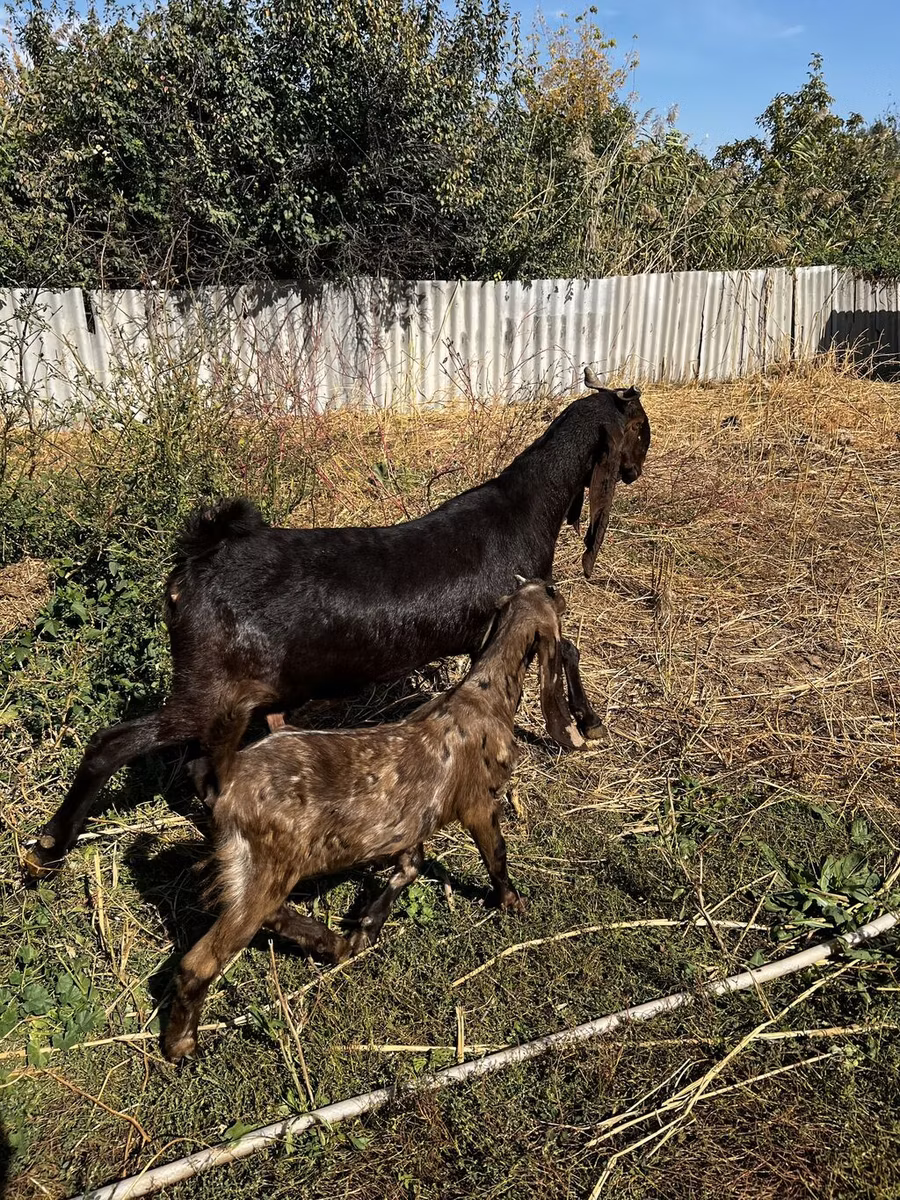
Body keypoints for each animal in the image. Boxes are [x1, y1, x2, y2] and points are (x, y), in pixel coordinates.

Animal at [26, 370, 649, 876]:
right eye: (641, 429)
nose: (637, 470)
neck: (526, 507)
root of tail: (194, 564)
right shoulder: (518, 618)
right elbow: (566, 651)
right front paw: (586, 723)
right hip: (204, 690)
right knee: (110, 743)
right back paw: (51, 846)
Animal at [163, 580, 568, 1061]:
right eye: (552, 596)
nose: (558, 591)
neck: (484, 695)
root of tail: (227, 775)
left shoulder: (413, 822)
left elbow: (410, 865)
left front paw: (367, 926)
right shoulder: (479, 803)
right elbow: (496, 856)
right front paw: (512, 902)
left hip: (253, 870)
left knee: (265, 915)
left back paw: (332, 942)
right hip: (266, 865)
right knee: (200, 960)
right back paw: (181, 1042)